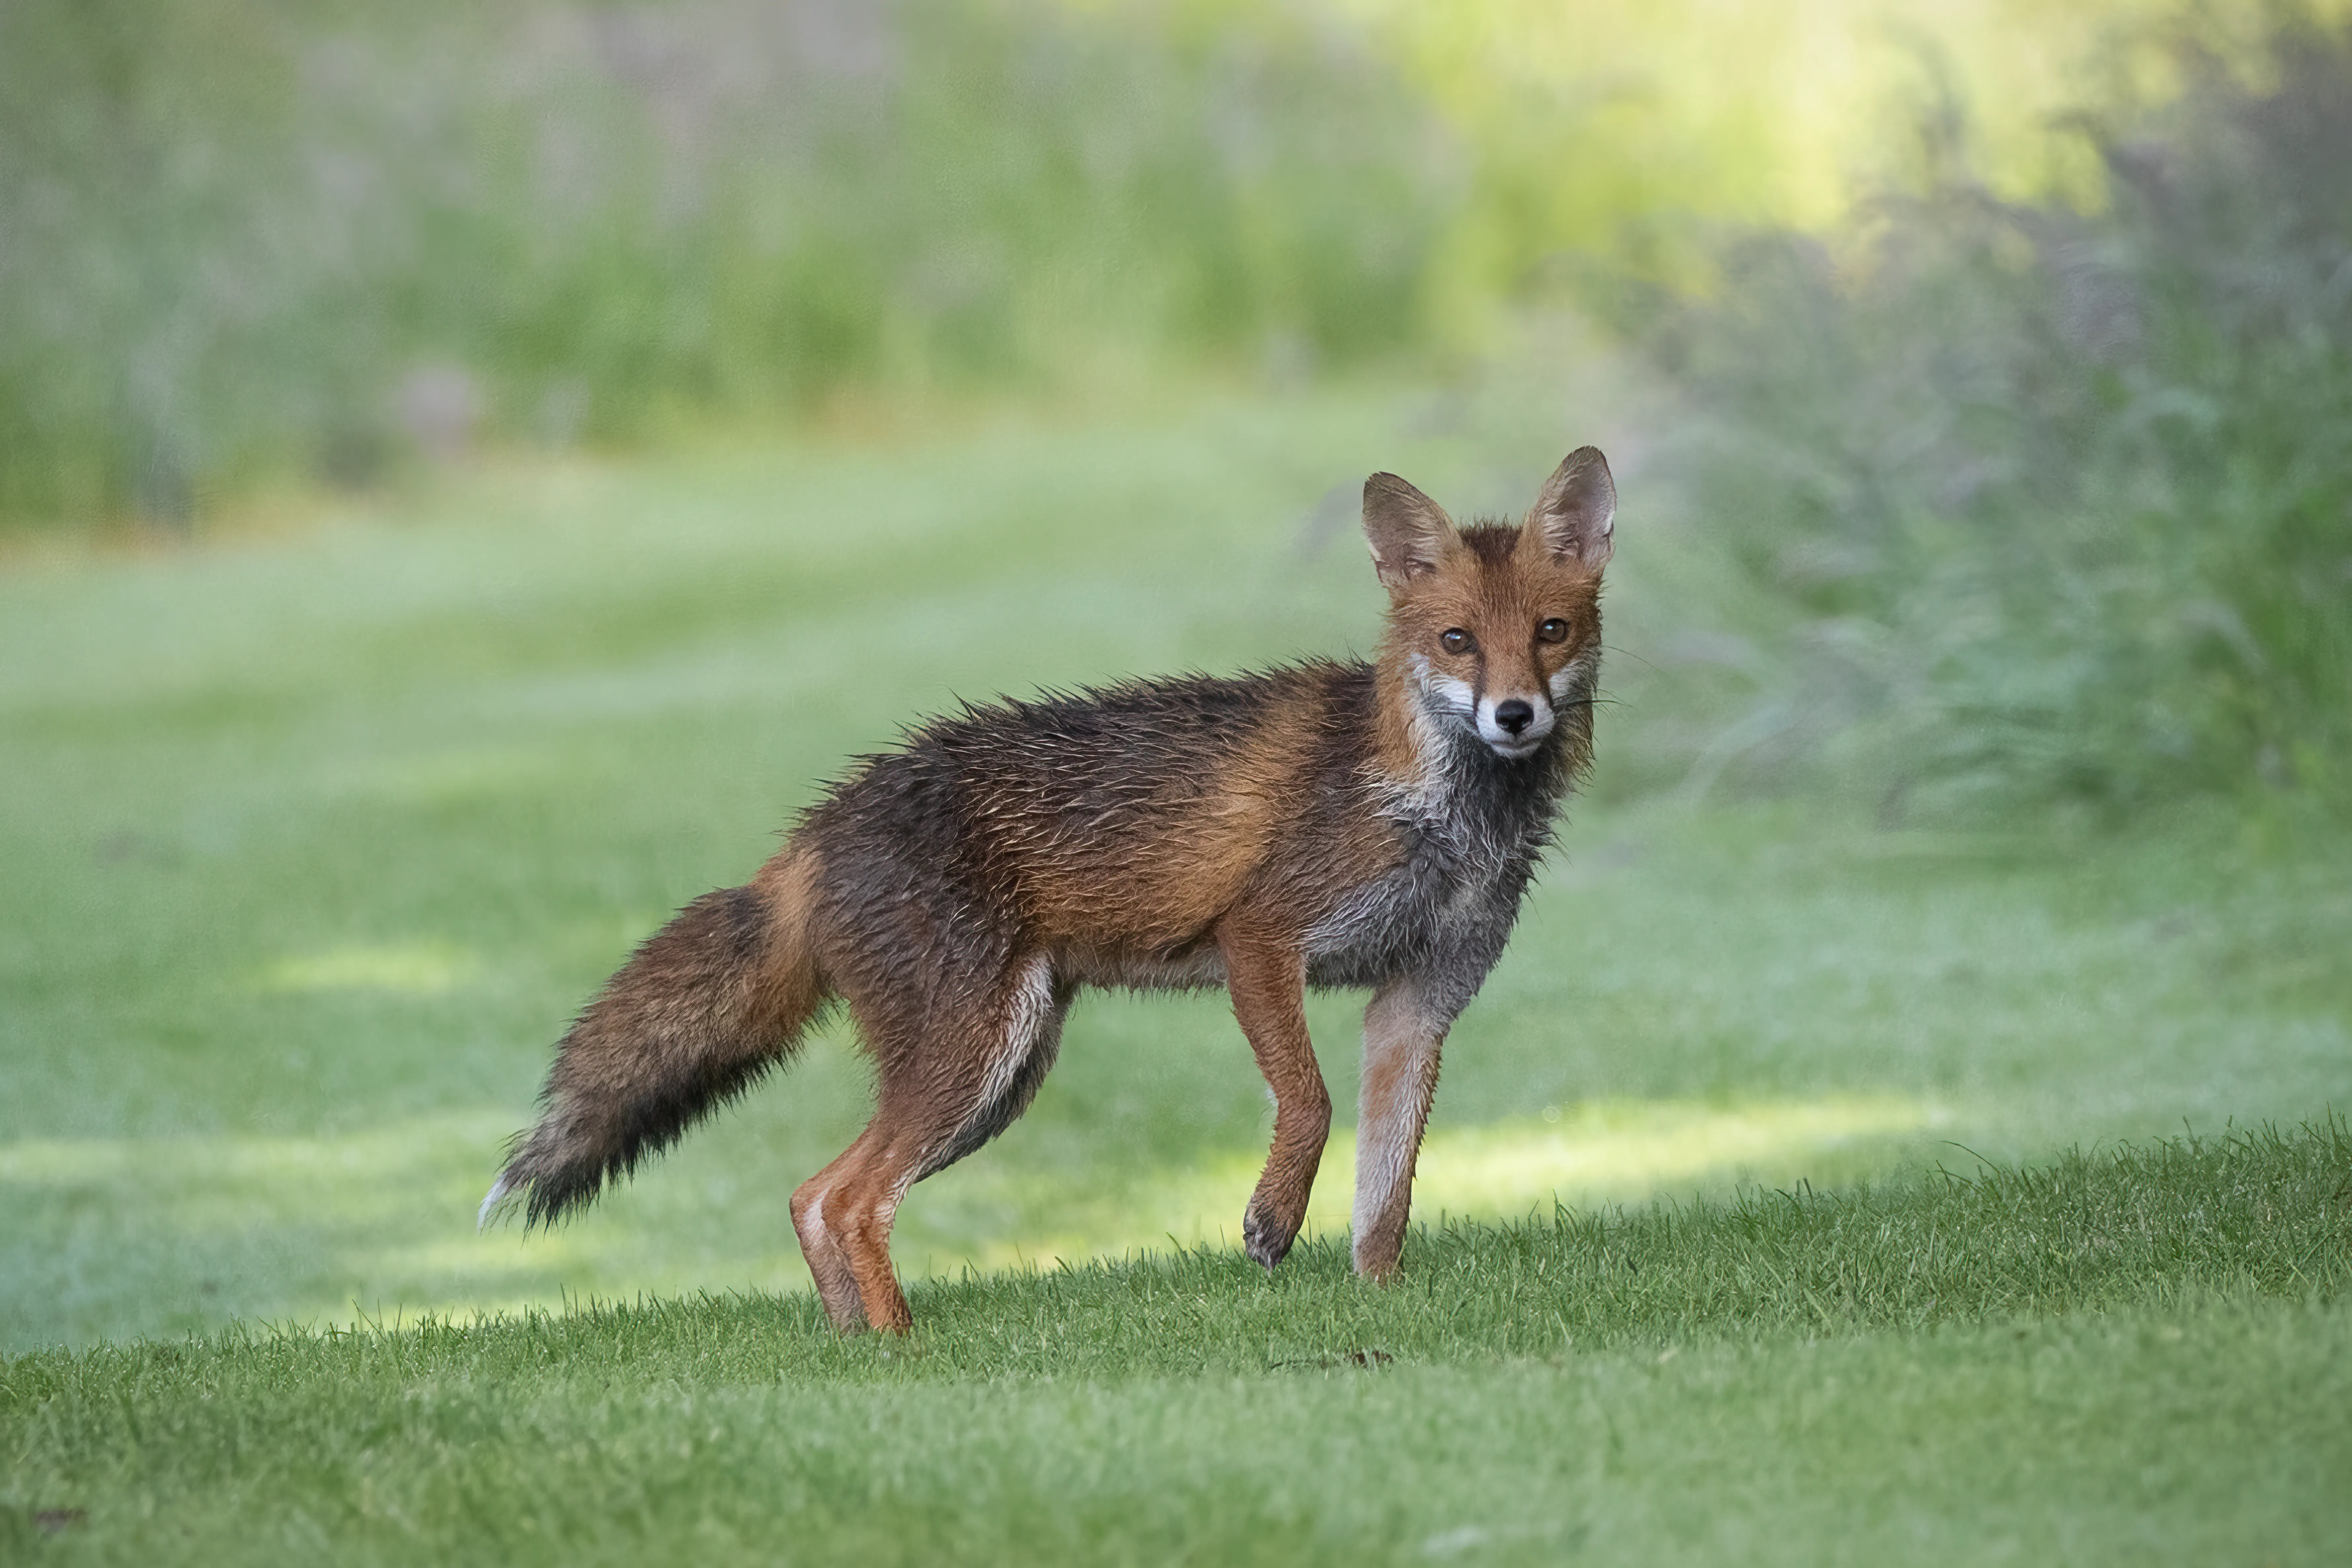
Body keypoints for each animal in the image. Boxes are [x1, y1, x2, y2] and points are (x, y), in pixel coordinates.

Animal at [482, 446, 1617, 1332]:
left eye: (1550, 632)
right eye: (1457, 640)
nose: (1514, 715)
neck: (1433, 813)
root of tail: (819, 824)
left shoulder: (1416, 1005)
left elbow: (1386, 1194)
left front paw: (1379, 1308)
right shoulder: (1260, 937)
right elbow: (1309, 1102)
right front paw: (1271, 1220)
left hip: (1001, 1076)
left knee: (812, 1195)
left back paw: (853, 1347)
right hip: (976, 1058)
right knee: (849, 1200)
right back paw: (905, 1352)